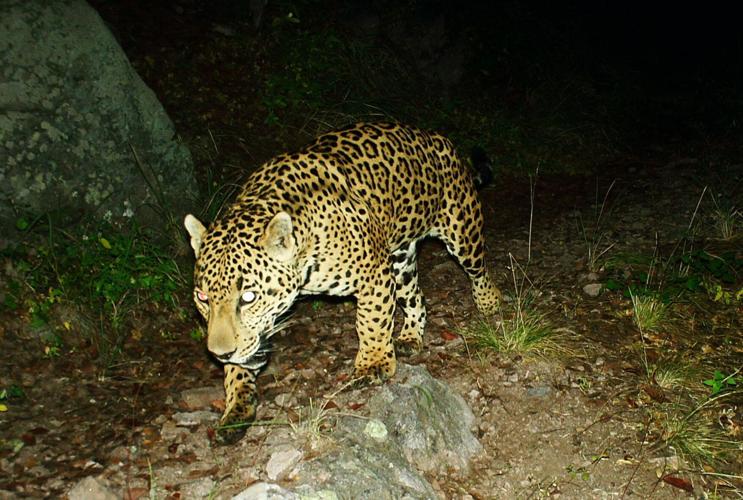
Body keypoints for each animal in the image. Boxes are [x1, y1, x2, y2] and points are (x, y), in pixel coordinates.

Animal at [184, 122, 501, 444]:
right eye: (202, 297)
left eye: (248, 297)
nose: (220, 354)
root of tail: (438, 139)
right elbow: (239, 369)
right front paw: (235, 409)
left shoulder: (374, 274)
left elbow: (371, 320)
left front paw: (373, 364)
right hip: (400, 260)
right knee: (416, 297)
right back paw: (411, 337)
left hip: (462, 233)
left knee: (478, 269)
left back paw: (489, 302)